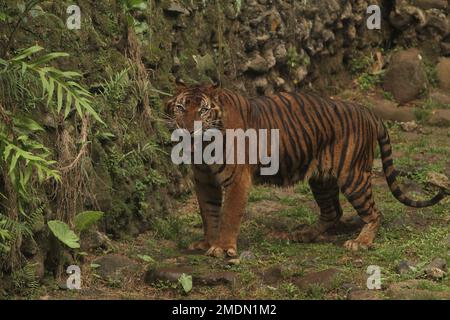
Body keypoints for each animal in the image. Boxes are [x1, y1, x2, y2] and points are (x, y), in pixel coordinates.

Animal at [163, 82, 444, 258]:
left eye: (203, 110)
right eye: (180, 108)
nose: (188, 128)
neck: (203, 144)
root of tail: (366, 110)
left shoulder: (237, 179)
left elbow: (229, 214)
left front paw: (222, 248)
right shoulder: (204, 180)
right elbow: (209, 213)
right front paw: (207, 243)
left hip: (353, 176)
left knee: (374, 212)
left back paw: (360, 242)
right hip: (321, 179)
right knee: (333, 211)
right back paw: (304, 234)